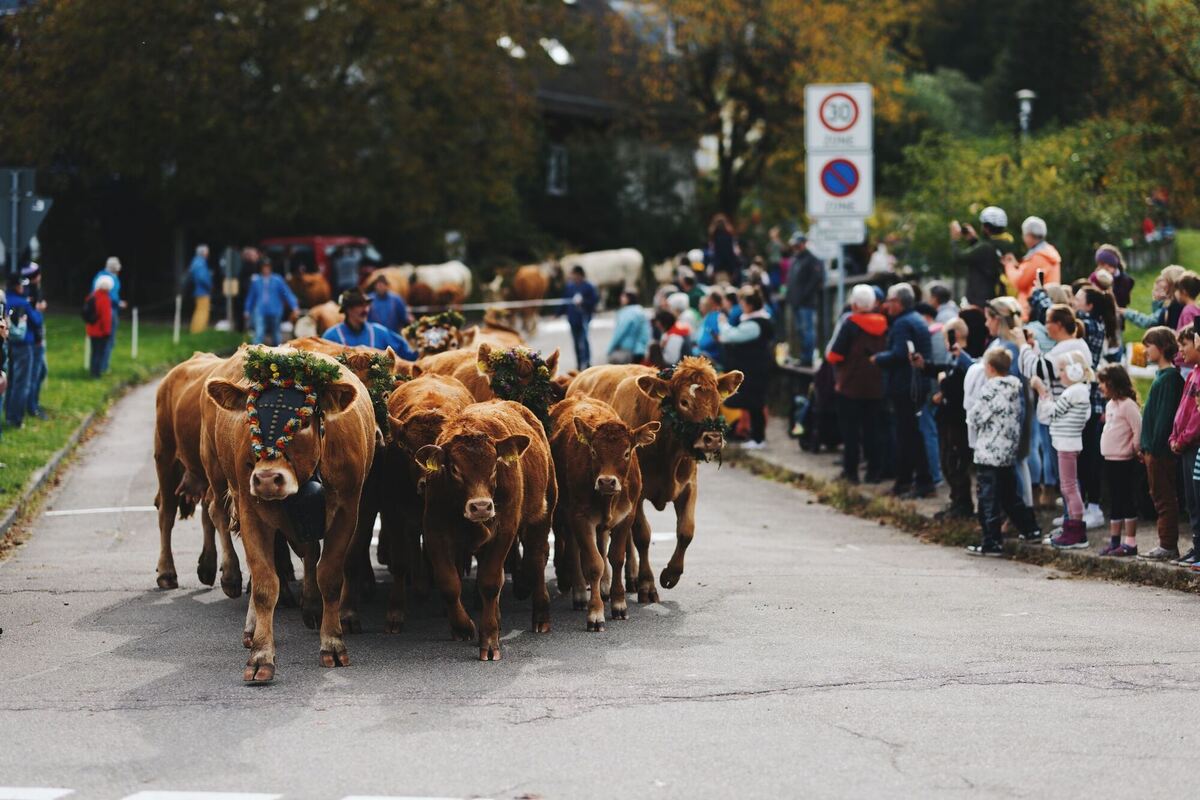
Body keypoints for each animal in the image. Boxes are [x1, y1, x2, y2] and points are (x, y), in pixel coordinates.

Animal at [200, 347, 374, 686]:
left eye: (304, 420)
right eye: (252, 414)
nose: (267, 479)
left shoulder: (348, 509)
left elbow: (330, 575)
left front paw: (333, 644)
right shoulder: (251, 509)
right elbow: (265, 584)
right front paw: (260, 657)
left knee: (309, 552)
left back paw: (311, 607)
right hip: (218, 473)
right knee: (218, 514)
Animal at [386, 374, 475, 633]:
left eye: (442, 449)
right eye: (407, 450)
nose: (426, 484)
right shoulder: (393, 512)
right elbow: (400, 561)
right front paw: (395, 612)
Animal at [415, 400, 554, 662]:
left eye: (494, 467)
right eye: (455, 469)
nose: (481, 506)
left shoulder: (505, 530)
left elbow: (489, 583)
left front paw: (489, 641)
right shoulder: (434, 530)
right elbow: (449, 583)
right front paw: (463, 627)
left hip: (542, 514)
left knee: (536, 559)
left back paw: (541, 616)